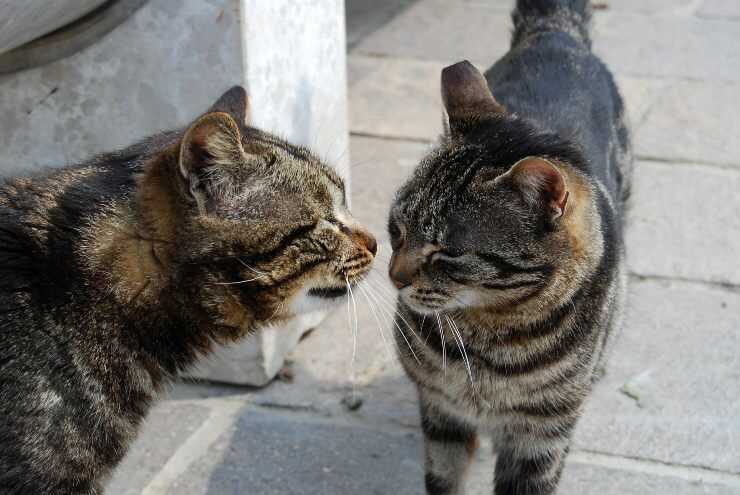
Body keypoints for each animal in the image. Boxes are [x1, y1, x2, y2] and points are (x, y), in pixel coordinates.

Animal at [388, 0, 632, 495]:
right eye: (397, 229)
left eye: (448, 252)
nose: (394, 277)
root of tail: (554, 34)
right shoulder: (441, 413)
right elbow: (444, 478)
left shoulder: (540, 437)